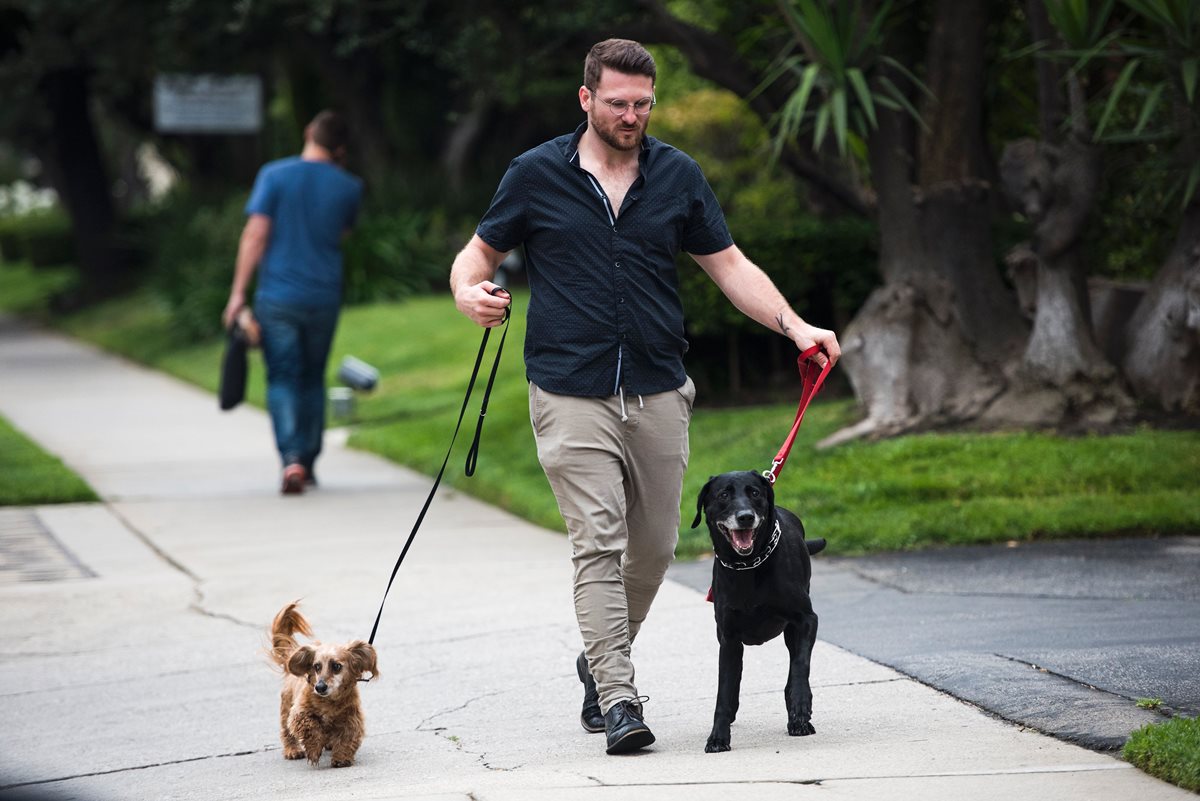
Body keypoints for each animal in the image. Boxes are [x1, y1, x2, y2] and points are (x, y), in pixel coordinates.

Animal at [268, 604, 376, 767]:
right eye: (317, 666)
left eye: (336, 666)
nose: (319, 687)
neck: (329, 701)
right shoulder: (299, 713)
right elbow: (311, 727)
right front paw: (314, 749)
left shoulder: (352, 717)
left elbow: (348, 736)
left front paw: (341, 758)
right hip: (286, 707)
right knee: (286, 732)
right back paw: (292, 750)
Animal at [696, 470, 825, 753]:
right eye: (724, 494)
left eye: (754, 492)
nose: (745, 516)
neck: (747, 566)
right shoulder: (729, 638)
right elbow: (724, 691)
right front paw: (718, 737)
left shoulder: (806, 620)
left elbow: (800, 666)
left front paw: (801, 704)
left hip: (792, 632)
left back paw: (798, 718)